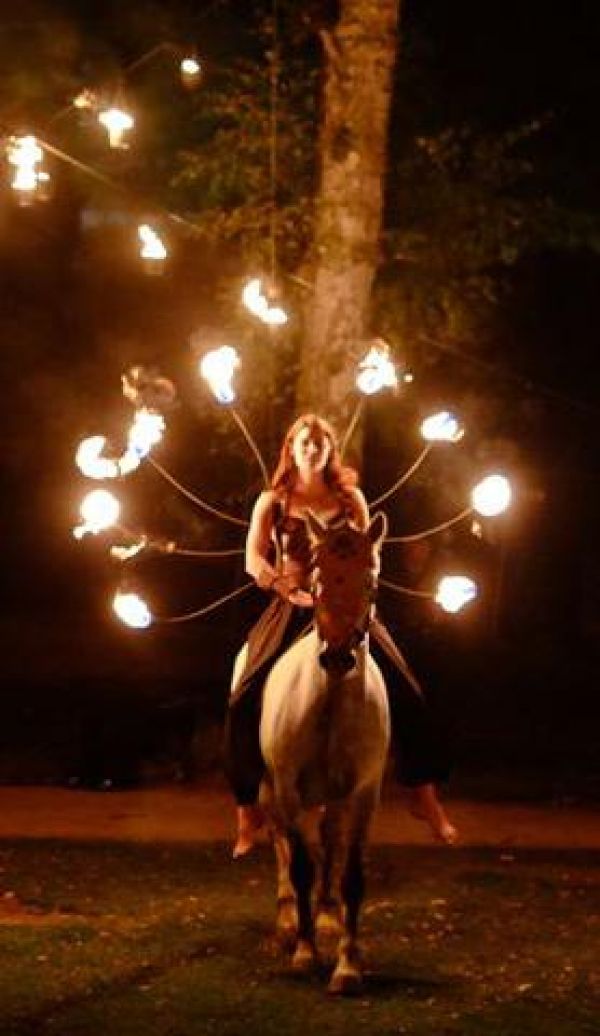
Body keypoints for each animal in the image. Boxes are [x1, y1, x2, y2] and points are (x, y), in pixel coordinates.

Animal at [258, 513, 389, 990]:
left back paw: (327, 915)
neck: (328, 703)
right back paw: (286, 921)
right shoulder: (288, 787)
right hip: (269, 791)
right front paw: (304, 950)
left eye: (370, 583)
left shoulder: (364, 792)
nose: (336, 658)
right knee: (279, 841)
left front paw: (348, 964)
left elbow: (351, 874)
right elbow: (299, 865)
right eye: (316, 581)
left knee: (329, 842)